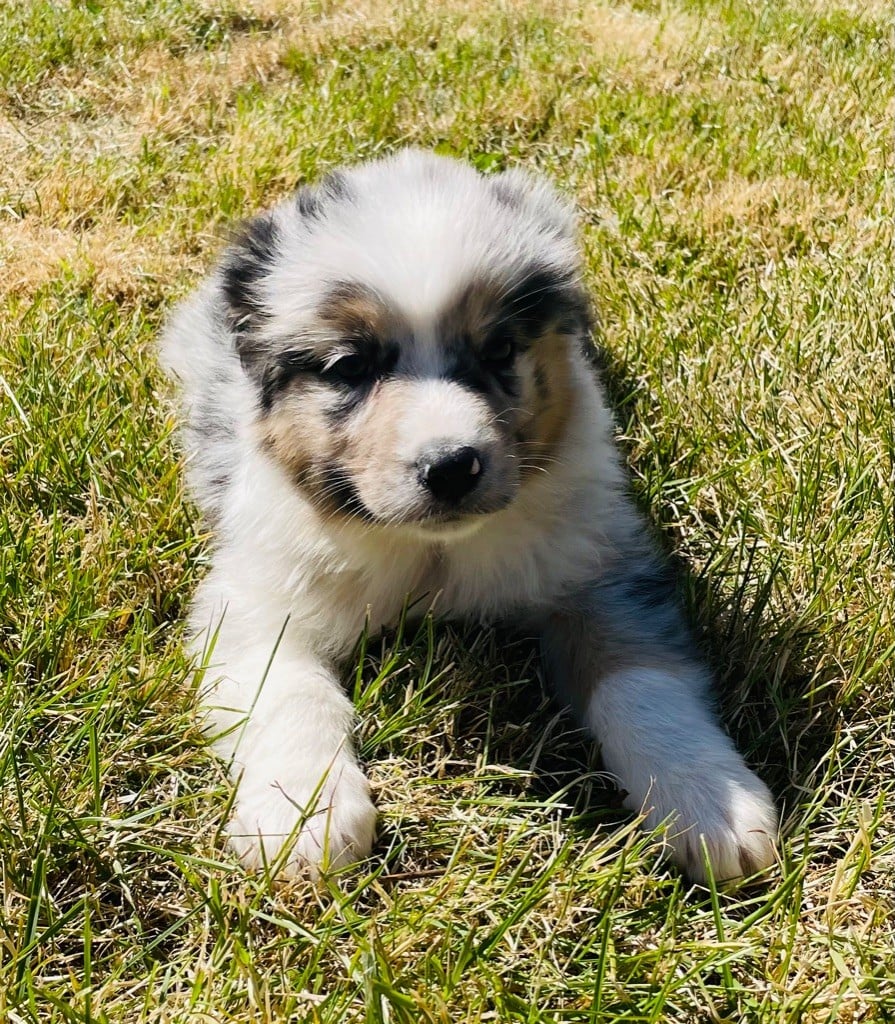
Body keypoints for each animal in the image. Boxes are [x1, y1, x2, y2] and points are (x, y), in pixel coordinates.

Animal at [161, 149, 778, 883]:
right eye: (349, 366)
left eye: (499, 349)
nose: (451, 466)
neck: (436, 552)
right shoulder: (258, 597)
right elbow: (289, 694)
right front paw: (303, 815)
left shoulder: (601, 566)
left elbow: (639, 678)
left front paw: (708, 798)